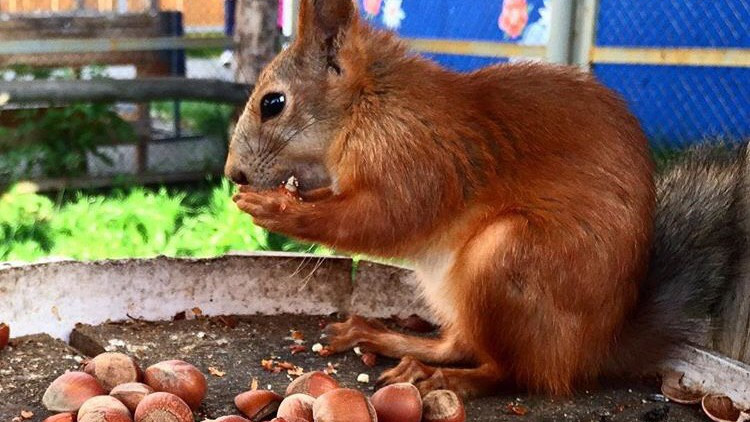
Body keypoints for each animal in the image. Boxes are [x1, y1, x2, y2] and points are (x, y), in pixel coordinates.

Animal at [226, 0, 744, 398]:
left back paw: (441, 378)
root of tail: (591, 352)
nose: (234, 174)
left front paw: (275, 209)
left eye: (273, 103)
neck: (370, 104)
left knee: (508, 371)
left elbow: (381, 219)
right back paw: (382, 337)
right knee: (459, 344)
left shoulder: (416, 157)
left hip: (505, 257)